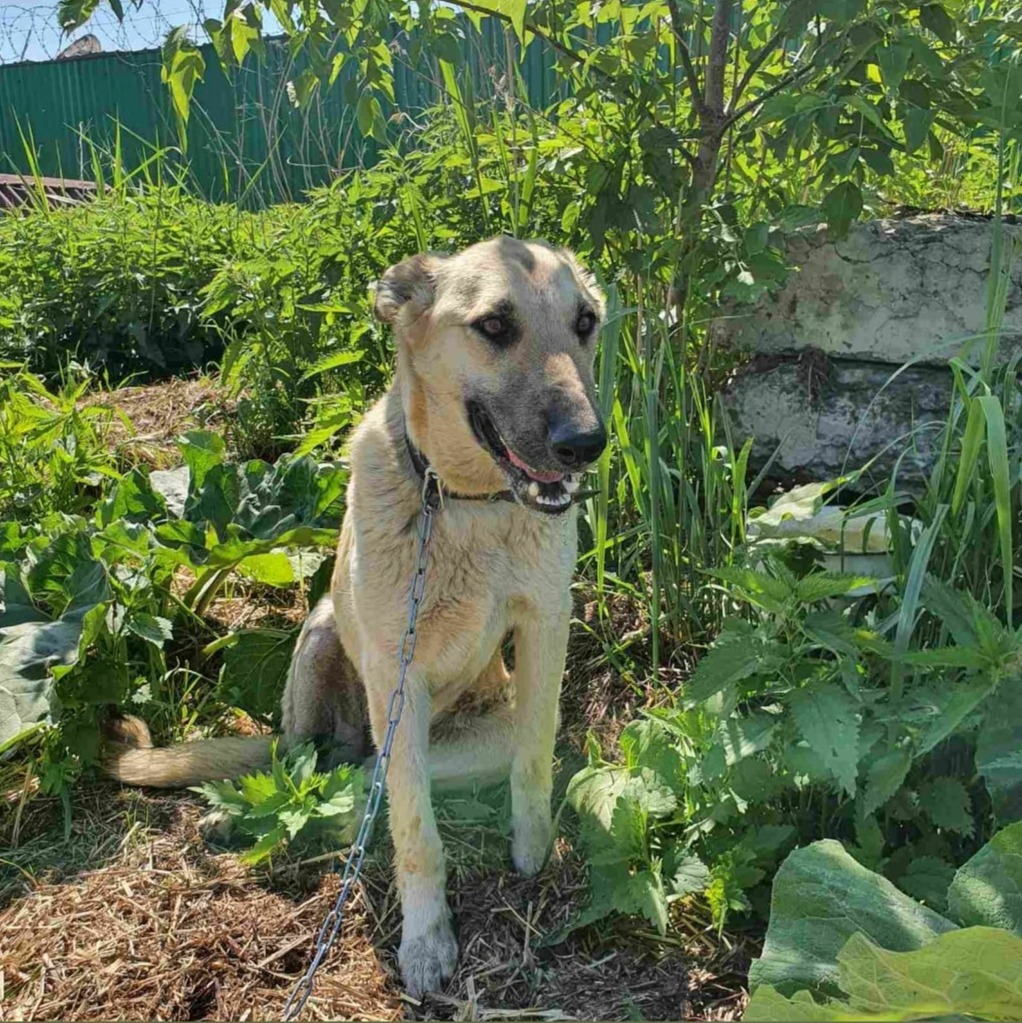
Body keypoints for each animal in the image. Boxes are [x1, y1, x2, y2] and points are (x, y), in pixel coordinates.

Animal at [104, 235, 608, 996]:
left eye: (585, 323)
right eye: (494, 325)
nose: (588, 442)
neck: (464, 503)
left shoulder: (546, 627)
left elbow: (533, 760)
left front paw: (533, 848)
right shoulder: (394, 667)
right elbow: (416, 831)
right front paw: (426, 938)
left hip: (465, 725)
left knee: (371, 774)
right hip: (320, 642)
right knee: (308, 763)